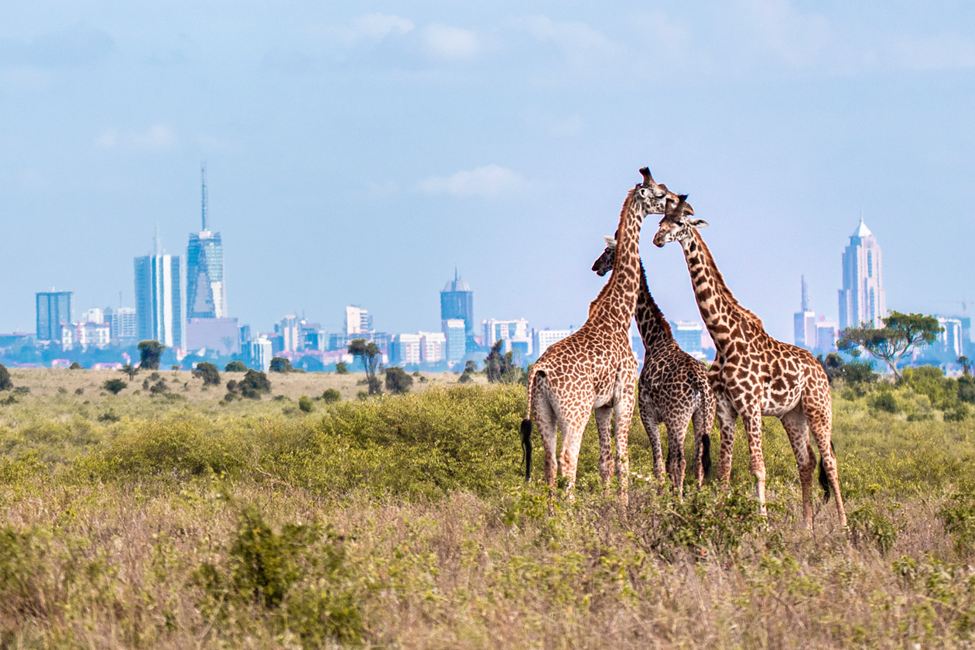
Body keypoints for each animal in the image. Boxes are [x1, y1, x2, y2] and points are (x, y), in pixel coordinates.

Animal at [524, 163, 692, 506]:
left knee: (549, 461)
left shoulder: (602, 404)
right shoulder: (624, 394)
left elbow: (605, 460)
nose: (678, 200)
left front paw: (607, 505)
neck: (617, 315)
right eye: (660, 194)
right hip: (574, 411)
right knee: (567, 457)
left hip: (545, 412)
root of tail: (540, 371)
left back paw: (550, 516)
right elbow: (623, 458)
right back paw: (569, 513)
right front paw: (623, 509)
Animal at [588, 233, 716, 496]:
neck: (653, 340)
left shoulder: (648, 413)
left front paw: (662, 498)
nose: (596, 266)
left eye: (607, 252)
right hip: (704, 417)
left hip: (679, 418)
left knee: (682, 461)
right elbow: (666, 462)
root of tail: (700, 384)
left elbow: (659, 463)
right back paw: (698, 497)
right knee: (698, 461)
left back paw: (680, 499)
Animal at [652, 199, 852, 528]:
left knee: (830, 461)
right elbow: (725, 467)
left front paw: (763, 523)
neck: (723, 338)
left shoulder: (750, 406)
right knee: (806, 461)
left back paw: (844, 526)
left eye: (680, 223)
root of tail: (820, 369)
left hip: (818, 408)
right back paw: (806, 526)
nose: (658, 239)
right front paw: (720, 517)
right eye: (661, 220)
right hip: (792, 414)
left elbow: (758, 467)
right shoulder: (725, 409)